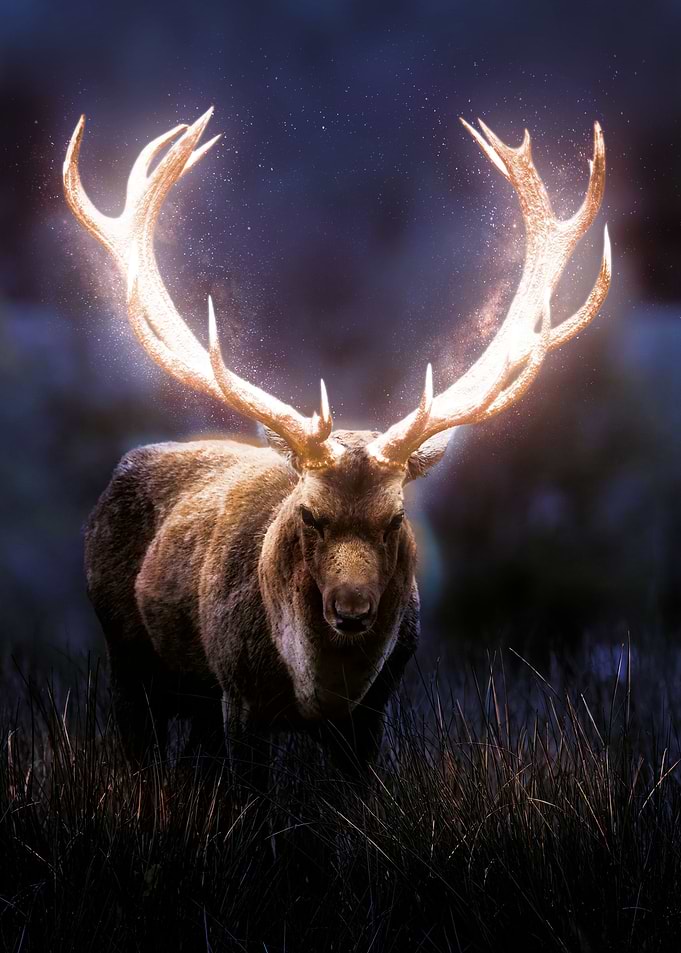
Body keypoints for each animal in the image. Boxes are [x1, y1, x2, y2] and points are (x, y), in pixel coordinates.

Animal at [63, 107, 611, 778]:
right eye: (309, 515)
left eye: (396, 517)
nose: (352, 611)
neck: (318, 692)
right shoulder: (237, 697)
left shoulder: (374, 709)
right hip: (126, 660)